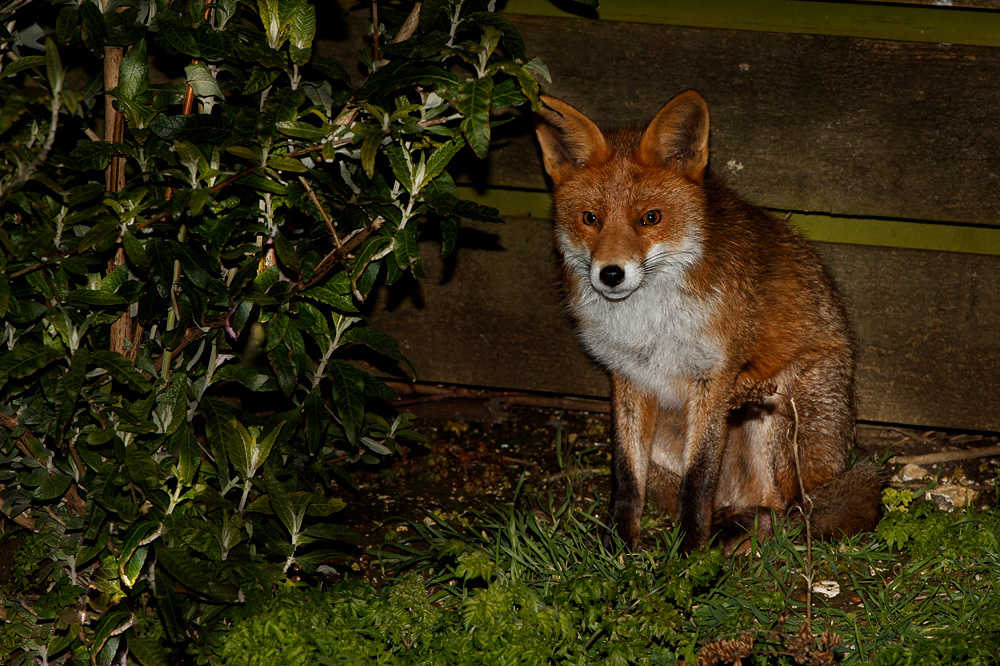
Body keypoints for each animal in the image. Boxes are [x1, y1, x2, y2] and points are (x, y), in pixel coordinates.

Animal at [534, 90, 883, 553]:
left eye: (651, 218)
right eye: (591, 219)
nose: (610, 274)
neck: (648, 325)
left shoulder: (714, 377)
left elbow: (698, 478)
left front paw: (689, 552)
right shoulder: (629, 379)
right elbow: (626, 477)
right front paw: (619, 544)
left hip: (776, 410)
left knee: (786, 511)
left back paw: (741, 535)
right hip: (670, 438)